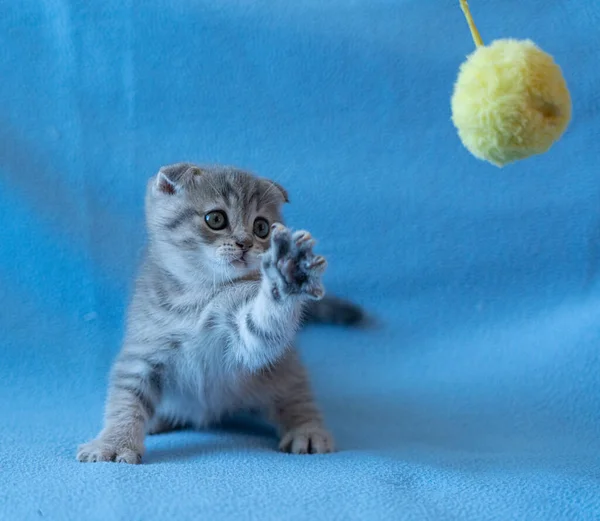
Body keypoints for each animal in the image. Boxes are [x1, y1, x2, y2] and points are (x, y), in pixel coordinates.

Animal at [77, 164, 364, 464]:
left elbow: (260, 326)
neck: (198, 294)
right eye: (215, 219)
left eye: (261, 227)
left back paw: (307, 430)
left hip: (283, 370)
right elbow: (126, 398)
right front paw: (114, 441)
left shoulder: (245, 335)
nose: (245, 242)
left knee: (297, 397)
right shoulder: (143, 350)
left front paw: (287, 274)